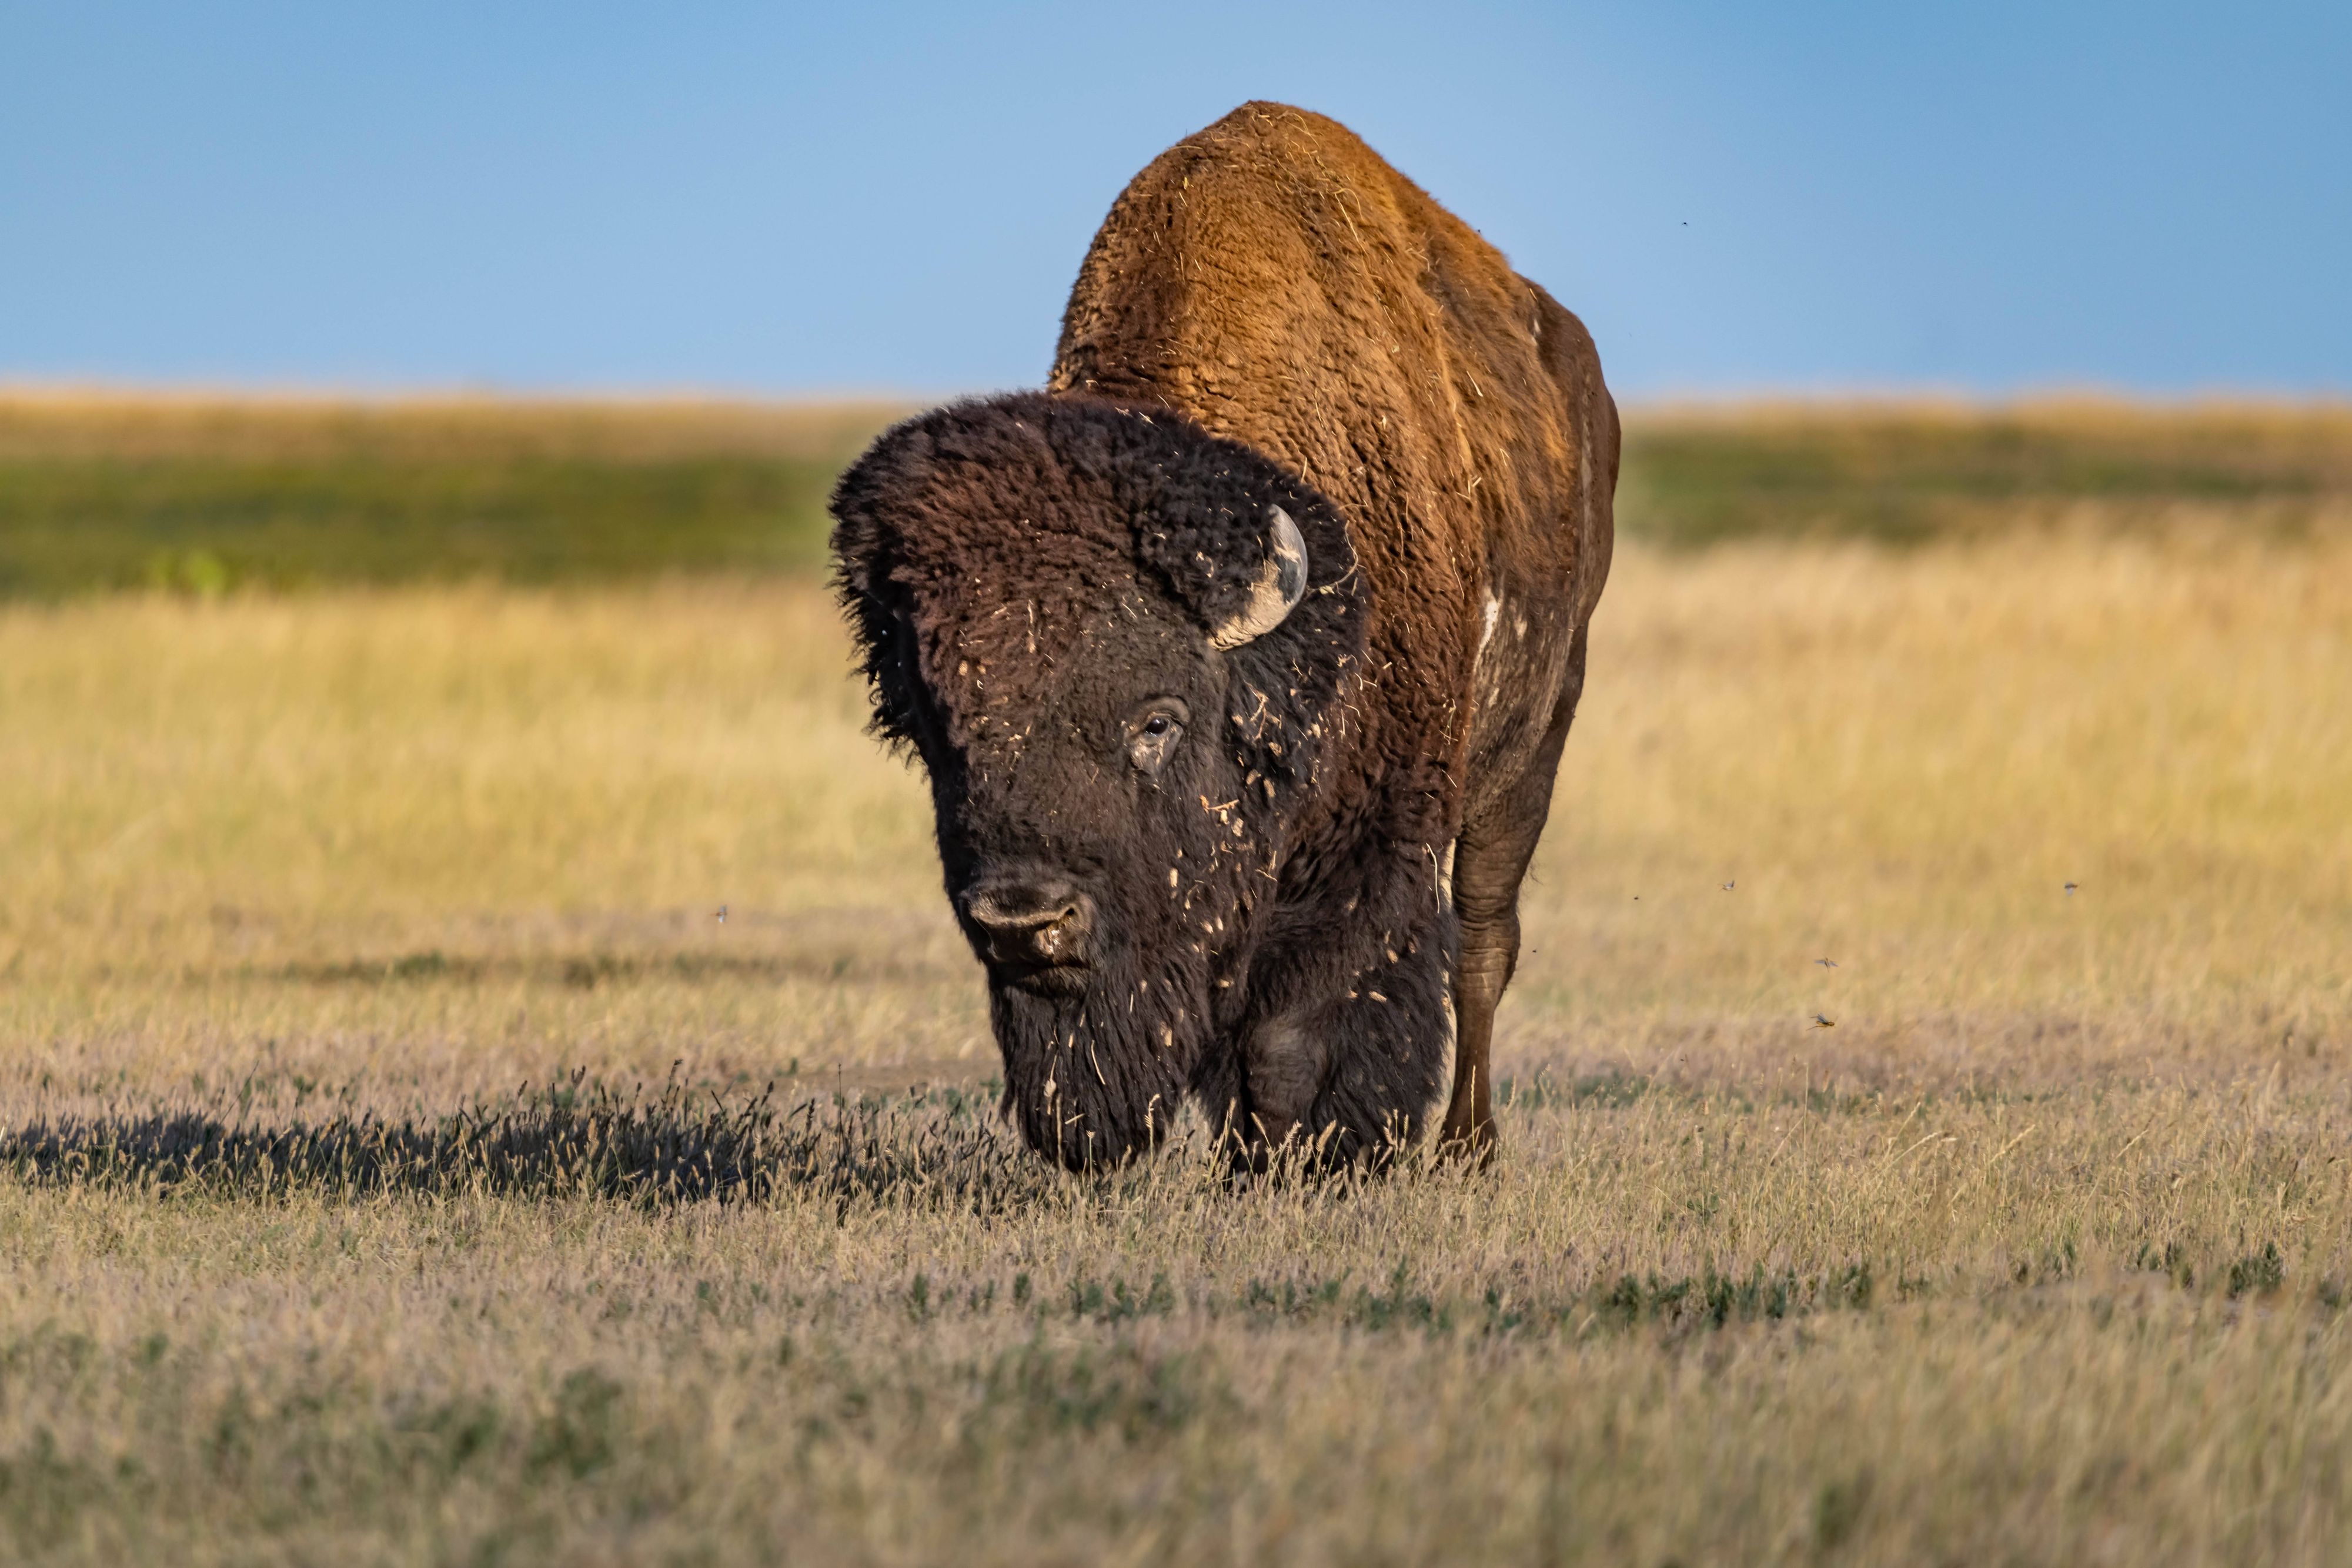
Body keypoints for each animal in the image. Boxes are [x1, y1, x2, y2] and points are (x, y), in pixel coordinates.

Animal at [831, 102, 1617, 1168]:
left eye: (1156, 722)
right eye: (937, 731)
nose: (1025, 918)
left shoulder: (1368, 846)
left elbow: (1295, 1028)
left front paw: (1297, 1159)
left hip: (1533, 743)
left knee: (1485, 942)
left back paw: (1467, 1146)